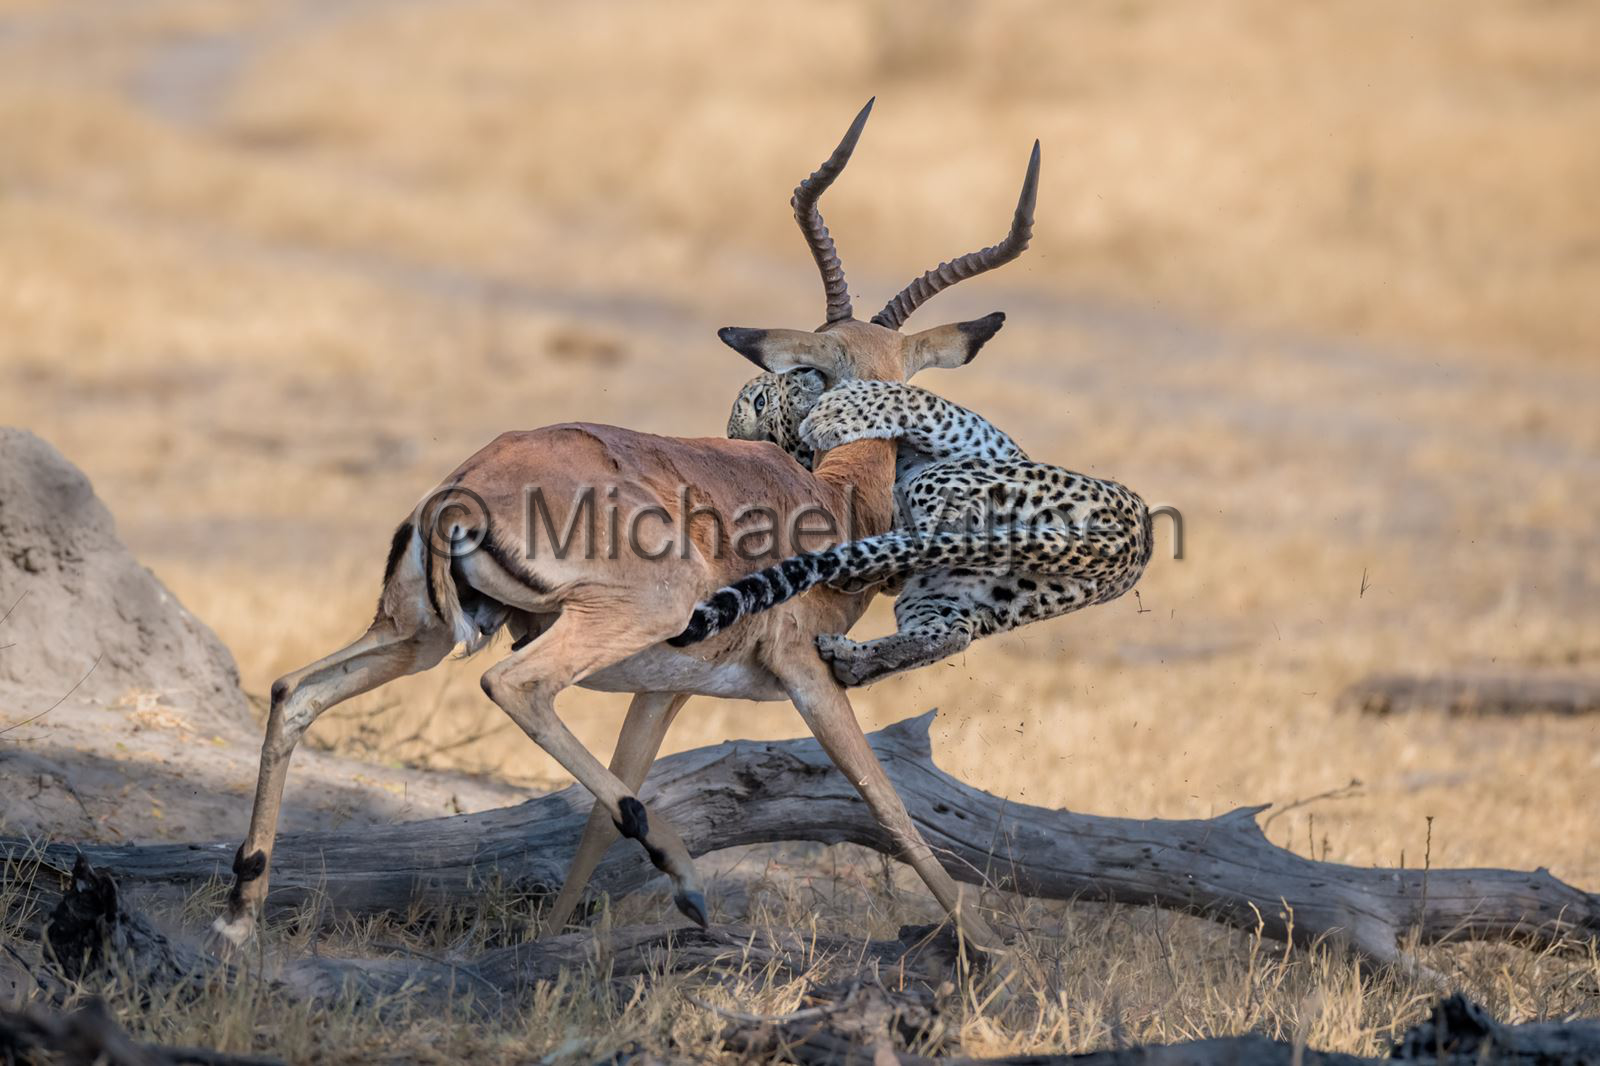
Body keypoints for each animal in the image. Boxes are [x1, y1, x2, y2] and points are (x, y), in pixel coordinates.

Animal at [680, 373, 1153, 687]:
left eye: (758, 399)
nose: (797, 374)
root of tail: (1129, 547)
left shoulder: (980, 438)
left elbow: (918, 400)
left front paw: (839, 407)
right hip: (956, 587)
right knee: (947, 633)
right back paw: (855, 658)